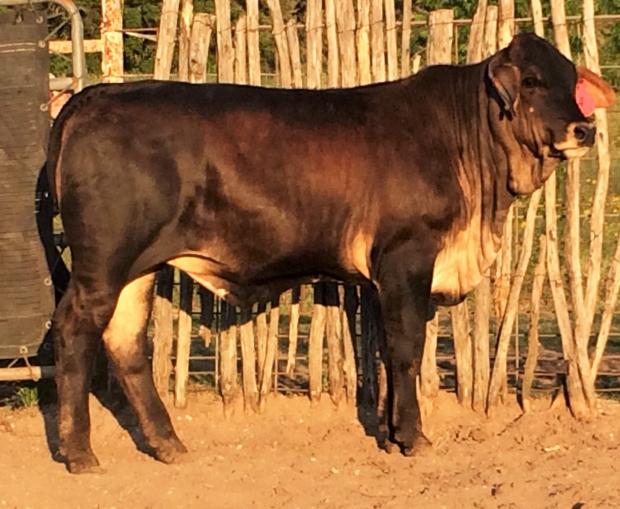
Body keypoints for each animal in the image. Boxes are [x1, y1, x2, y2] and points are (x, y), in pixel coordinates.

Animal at [46, 33, 615, 473]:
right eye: (533, 81)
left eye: (573, 81)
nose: (584, 129)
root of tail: (99, 95)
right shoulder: (407, 258)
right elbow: (405, 349)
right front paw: (412, 438)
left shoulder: (387, 278)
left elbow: (386, 351)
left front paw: (390, 434)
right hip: (103, 264)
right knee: (76, 330)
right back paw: (80, 454)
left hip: (136, 268)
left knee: (125, 341)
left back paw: (168, 444)